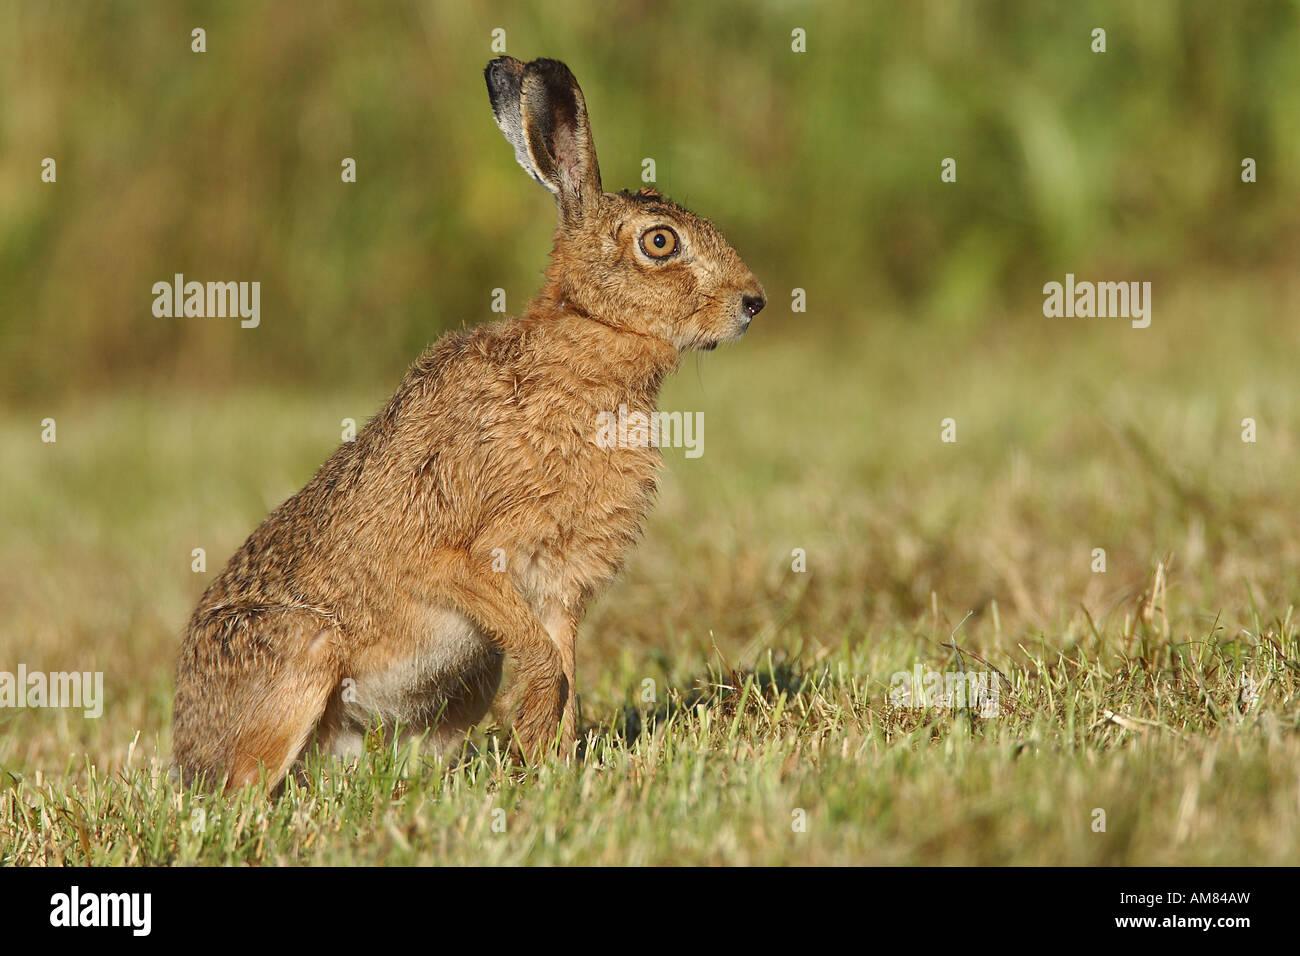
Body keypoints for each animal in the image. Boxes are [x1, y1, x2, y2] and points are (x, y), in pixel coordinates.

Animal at [172, 55, 766, 791]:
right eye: (660, 241)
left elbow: (564, 668)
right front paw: (541, 742)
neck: (580, 357)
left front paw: (553, 765)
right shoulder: (456, 557)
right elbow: (541, 659)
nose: (754, 301)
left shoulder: (558, 590)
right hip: (299, 655)